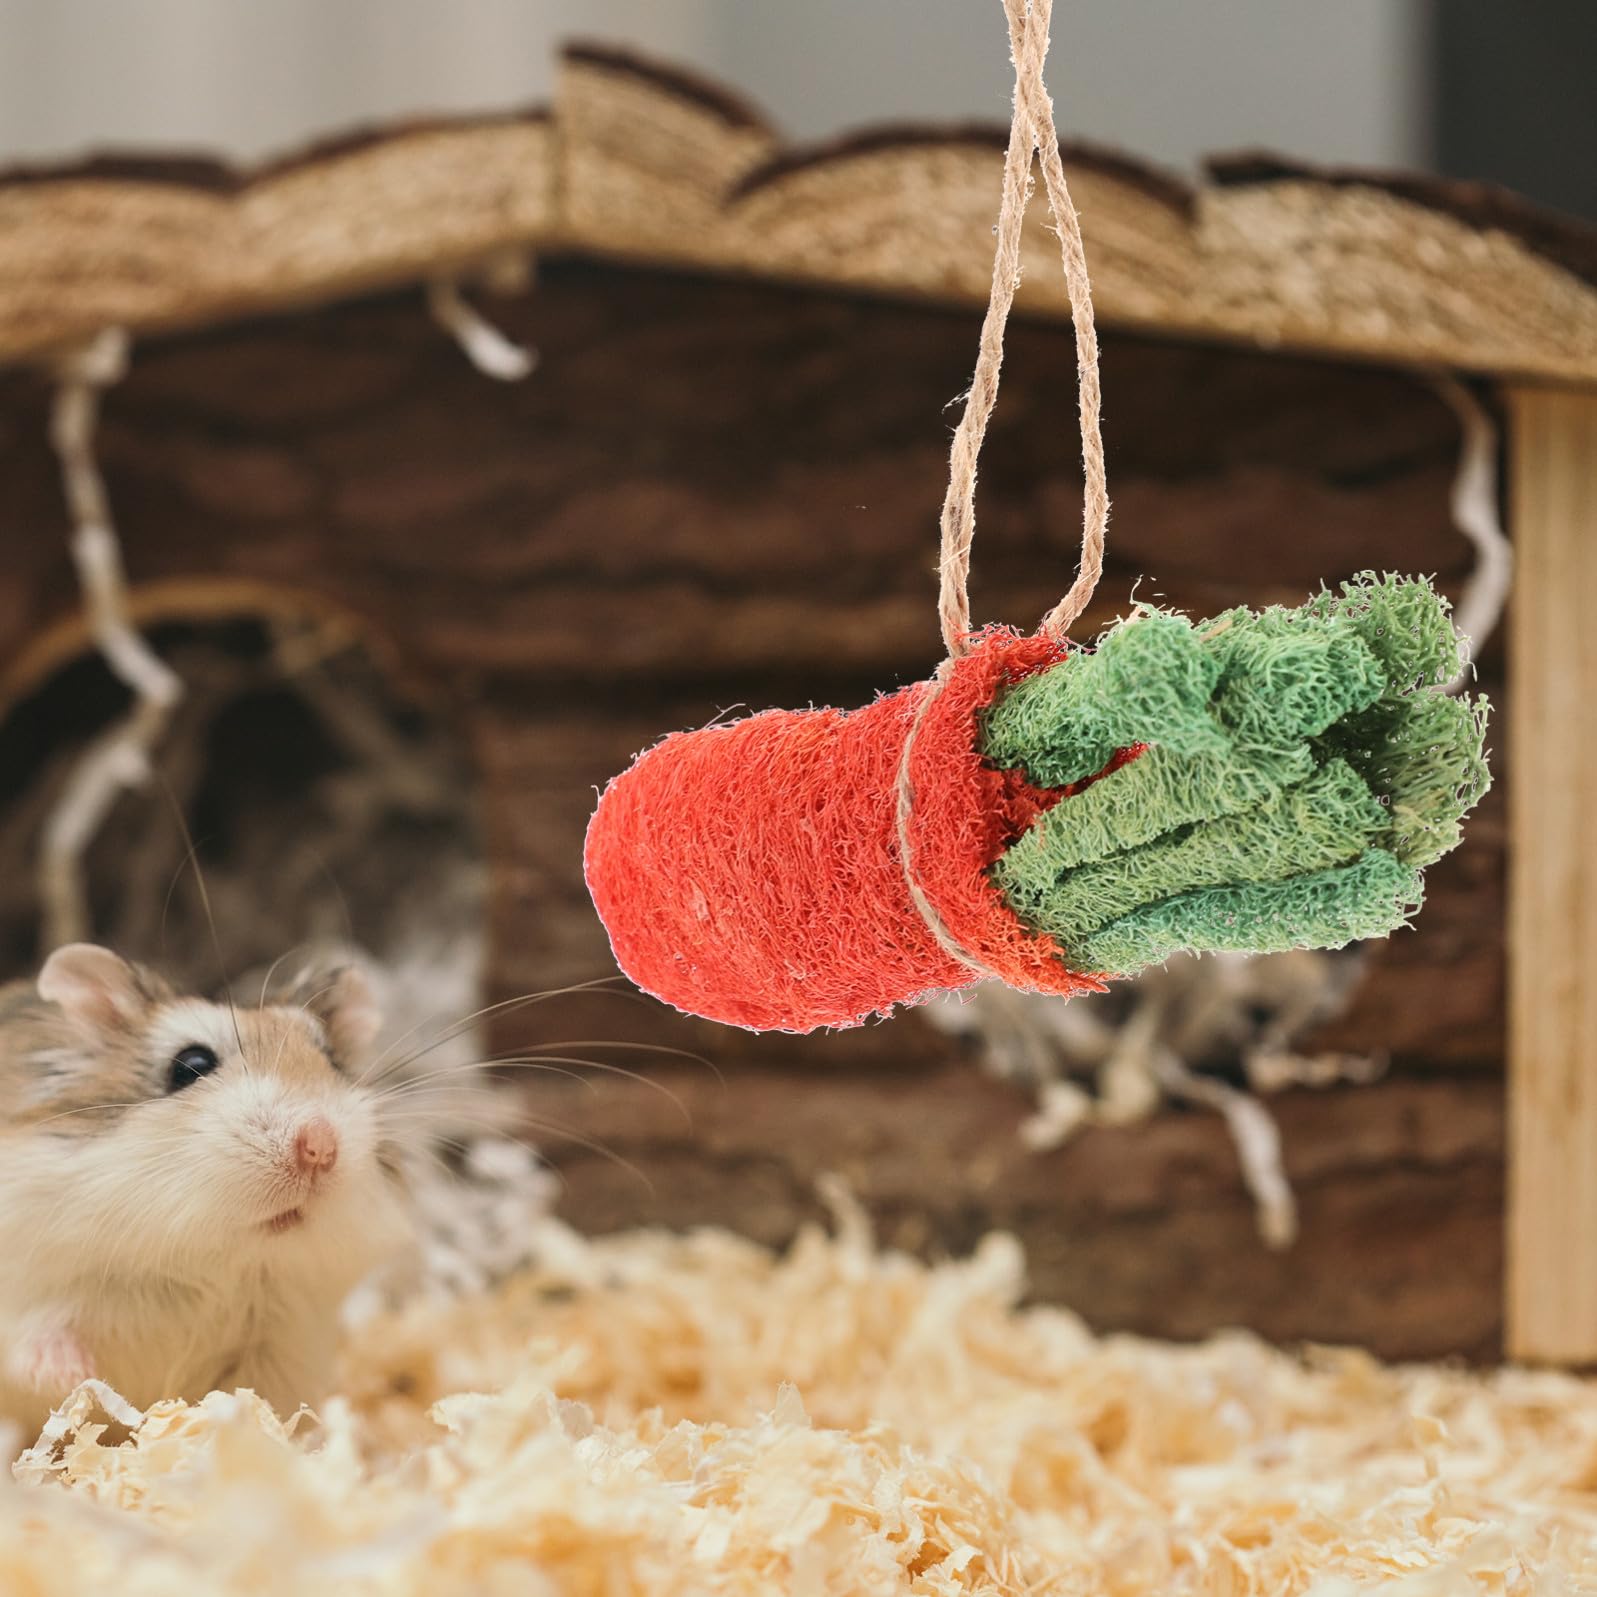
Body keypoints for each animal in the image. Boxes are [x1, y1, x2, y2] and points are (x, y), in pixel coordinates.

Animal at [0, 943, 417, 1442]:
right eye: (191, 1065)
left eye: (332, 1062)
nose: (320, 1146)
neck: (211, 1261)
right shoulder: (29, 1284)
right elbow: (38, 1335)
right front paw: (72, 1375)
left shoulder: (280, 1348)